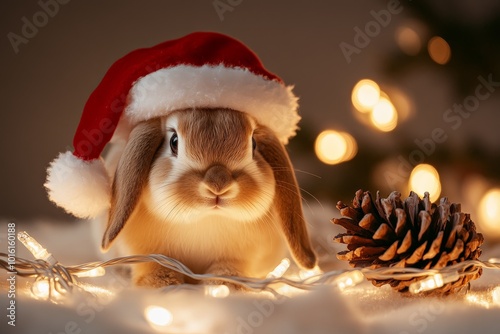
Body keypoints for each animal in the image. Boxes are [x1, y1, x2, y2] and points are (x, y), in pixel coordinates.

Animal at [101, 107, 316, 288]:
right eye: (174, 142)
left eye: (253, 144)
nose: (218, 184)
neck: (205, 220)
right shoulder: (145, 250)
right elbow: (151, 264)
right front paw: (159, 283)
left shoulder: (242, 255)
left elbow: (230, 267)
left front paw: (225, 284)